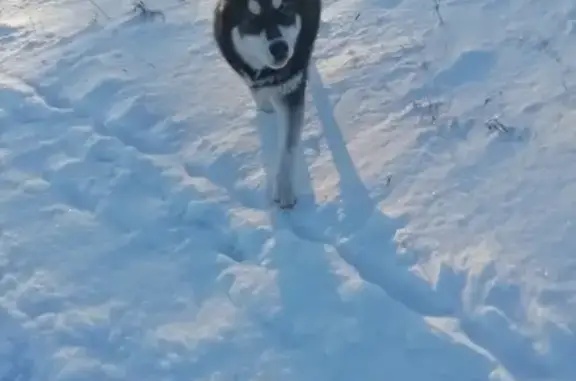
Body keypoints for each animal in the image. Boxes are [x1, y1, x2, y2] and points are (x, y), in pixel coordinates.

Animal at [213, 0, 322, 208]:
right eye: (250, 18)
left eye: (285, 8)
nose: (280, 48)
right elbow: (257, 90)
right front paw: (265, 106)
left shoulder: (291, 86)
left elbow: (287, 149)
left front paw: (285, 189)